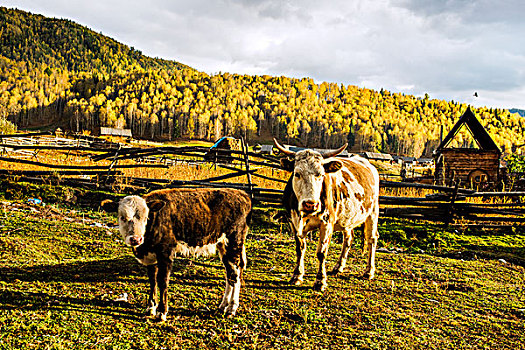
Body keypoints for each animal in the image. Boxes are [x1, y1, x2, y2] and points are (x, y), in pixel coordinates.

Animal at [115, 187, 254, 322]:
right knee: (230, 274)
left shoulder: (166, 253)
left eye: (145, 218)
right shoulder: (150, 257)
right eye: (122, 218)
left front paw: (161, 312)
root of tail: (241, 194)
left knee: (235, 274)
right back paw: (223, 305)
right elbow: (152, 281)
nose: (135, 239)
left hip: (234, 242)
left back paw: (232, 307)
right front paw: (151, 308)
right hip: (223, 245)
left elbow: (162, 281)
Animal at [272, 138, 378, 292]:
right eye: (297, 173)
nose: (310, 204)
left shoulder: (327, 224)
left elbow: (321, 253)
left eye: (321, 175)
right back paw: (339, 267)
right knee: (348, 238)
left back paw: (369, 271)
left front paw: (320, 281)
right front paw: (297, 275)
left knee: (372, 239)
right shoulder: (293, 222)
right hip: (348, 218)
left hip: (373, 212)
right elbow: (300, 249)